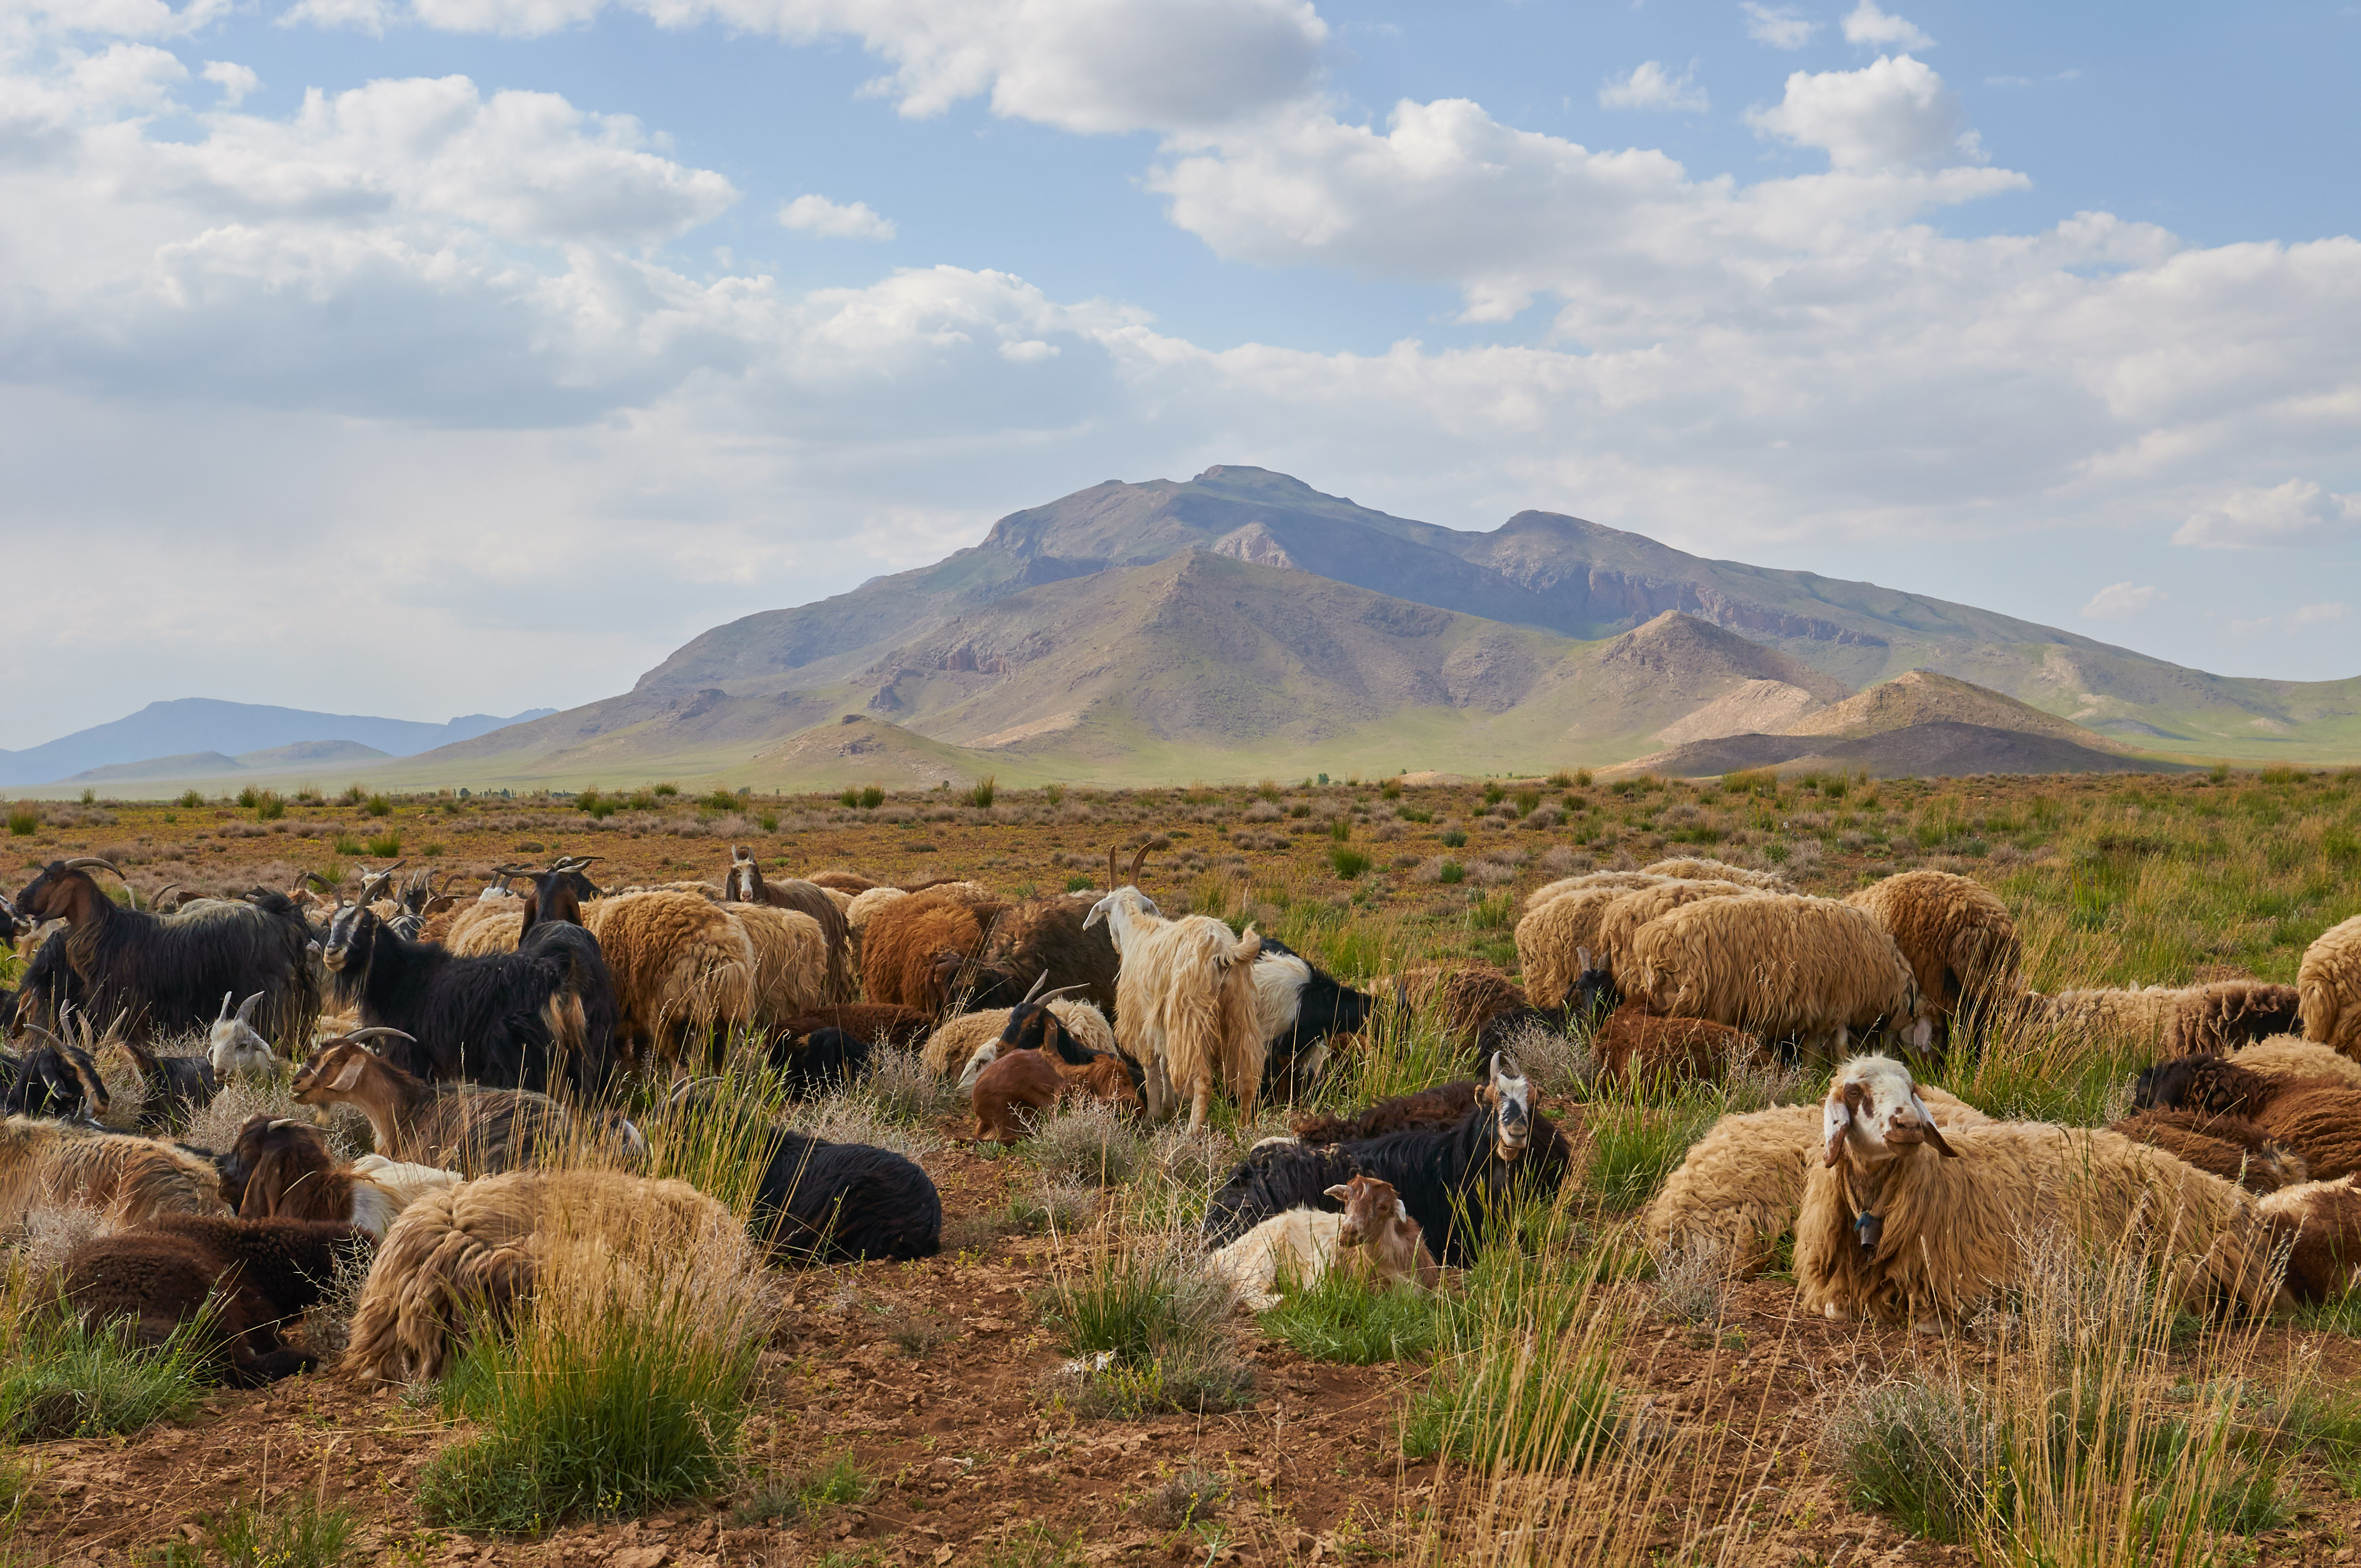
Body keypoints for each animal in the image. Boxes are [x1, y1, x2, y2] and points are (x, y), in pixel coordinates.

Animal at [319, 902, 604, 1095]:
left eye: (365, 923)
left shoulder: (411, 1052)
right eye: (331, 923)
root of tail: (558, 975)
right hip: (577, 1056)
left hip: (524, 1058)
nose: (332, 952)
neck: (401, 975)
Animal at [1634, 892, 1927, 1053]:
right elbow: (1840, 1042)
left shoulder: (1816, 1006)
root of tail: (1653, 939)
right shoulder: (1840, 1001)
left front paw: (1811, 1071)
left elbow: (1812, 1045)